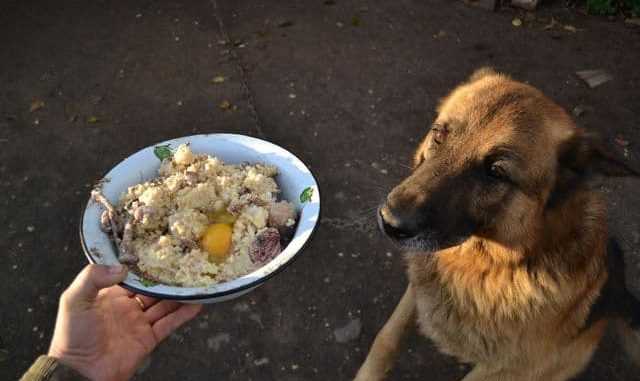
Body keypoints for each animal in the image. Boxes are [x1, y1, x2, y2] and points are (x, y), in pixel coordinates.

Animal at [356, 69, 640, 380]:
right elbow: (385, 339)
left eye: (496, 172)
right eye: (439, 134)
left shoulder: (503, 367)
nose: (389, 221)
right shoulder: (415, 292)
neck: (492, 266)